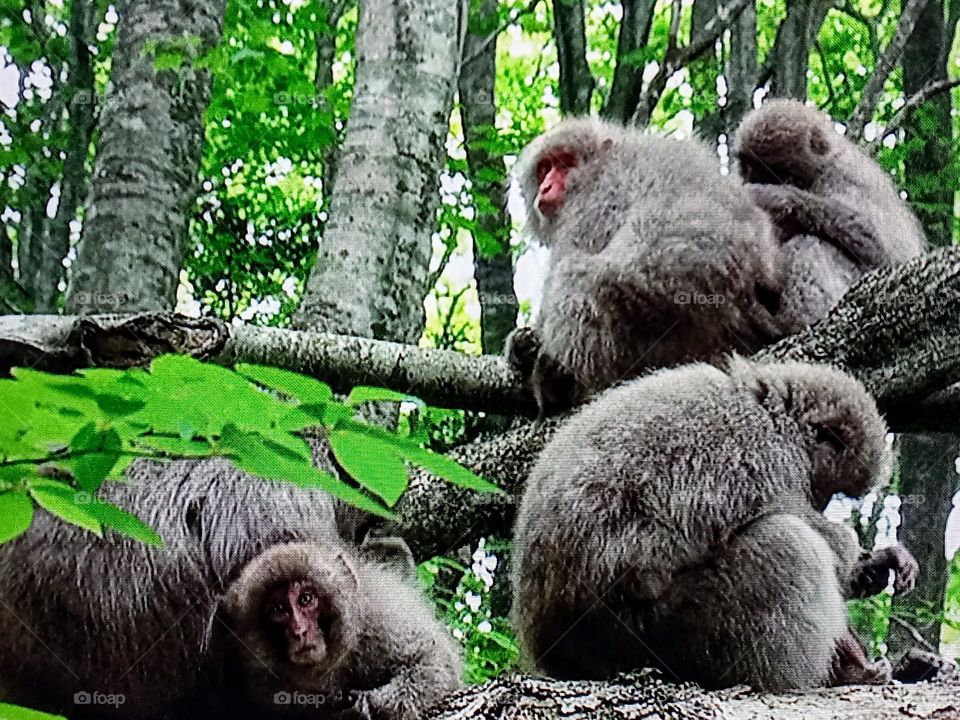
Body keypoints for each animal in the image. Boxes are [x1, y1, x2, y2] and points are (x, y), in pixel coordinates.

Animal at [215, 542, 462, 720]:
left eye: (306, 599)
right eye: (278, 609)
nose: (299, 631)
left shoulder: (381, 619)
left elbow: (432, 659)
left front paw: (374, 704)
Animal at [506, 118, 786, 415]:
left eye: (564, 163)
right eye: (544, 169)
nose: (546, 187)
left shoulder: (595, 197)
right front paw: (524, 344)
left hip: (659, 305)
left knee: (575, 277)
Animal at [511, 357, 918, 691]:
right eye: (825, 492)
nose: (820, 503)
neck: (769, 412)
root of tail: (558, 656)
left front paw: (873, 567)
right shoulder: (766, 458)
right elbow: (801, 526)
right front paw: (855, 559)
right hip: (657, 635)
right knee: (788, 545)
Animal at [734, 99, 925, 331]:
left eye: (784, 177)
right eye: (750, 170)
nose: (759, 182)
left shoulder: (845, 175)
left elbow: (883, 250)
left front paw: (772, 197)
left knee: (810, 243)